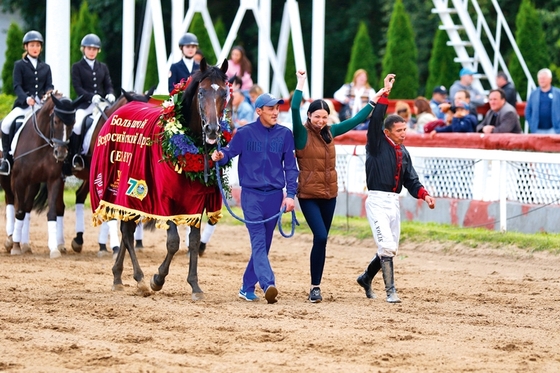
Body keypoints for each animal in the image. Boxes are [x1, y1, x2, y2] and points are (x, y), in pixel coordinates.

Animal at [9, 91, 82, 258]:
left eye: (73, 123)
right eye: (55, 121)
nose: (60, 154)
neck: (40, 144)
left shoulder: (54, 180)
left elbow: (52, 213)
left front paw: (54, 249)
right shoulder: (19, 180)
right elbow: (19, 211)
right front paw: (15, 247)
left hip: (34, 183)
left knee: (27, 206)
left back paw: (25, 244)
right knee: (15, 205)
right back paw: (12, 241)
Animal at [91, 60, 231, 300]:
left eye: (224, 93)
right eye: (201, 92)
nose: (212, 130)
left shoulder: (198, 202)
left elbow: (194, 242)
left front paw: (195, 285)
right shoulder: (164, 200)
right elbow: (173, 243)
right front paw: (157, 279)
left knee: (127, 230)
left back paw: (118, 276)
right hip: (124, 190)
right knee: (127, 233)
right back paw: (139, 279)